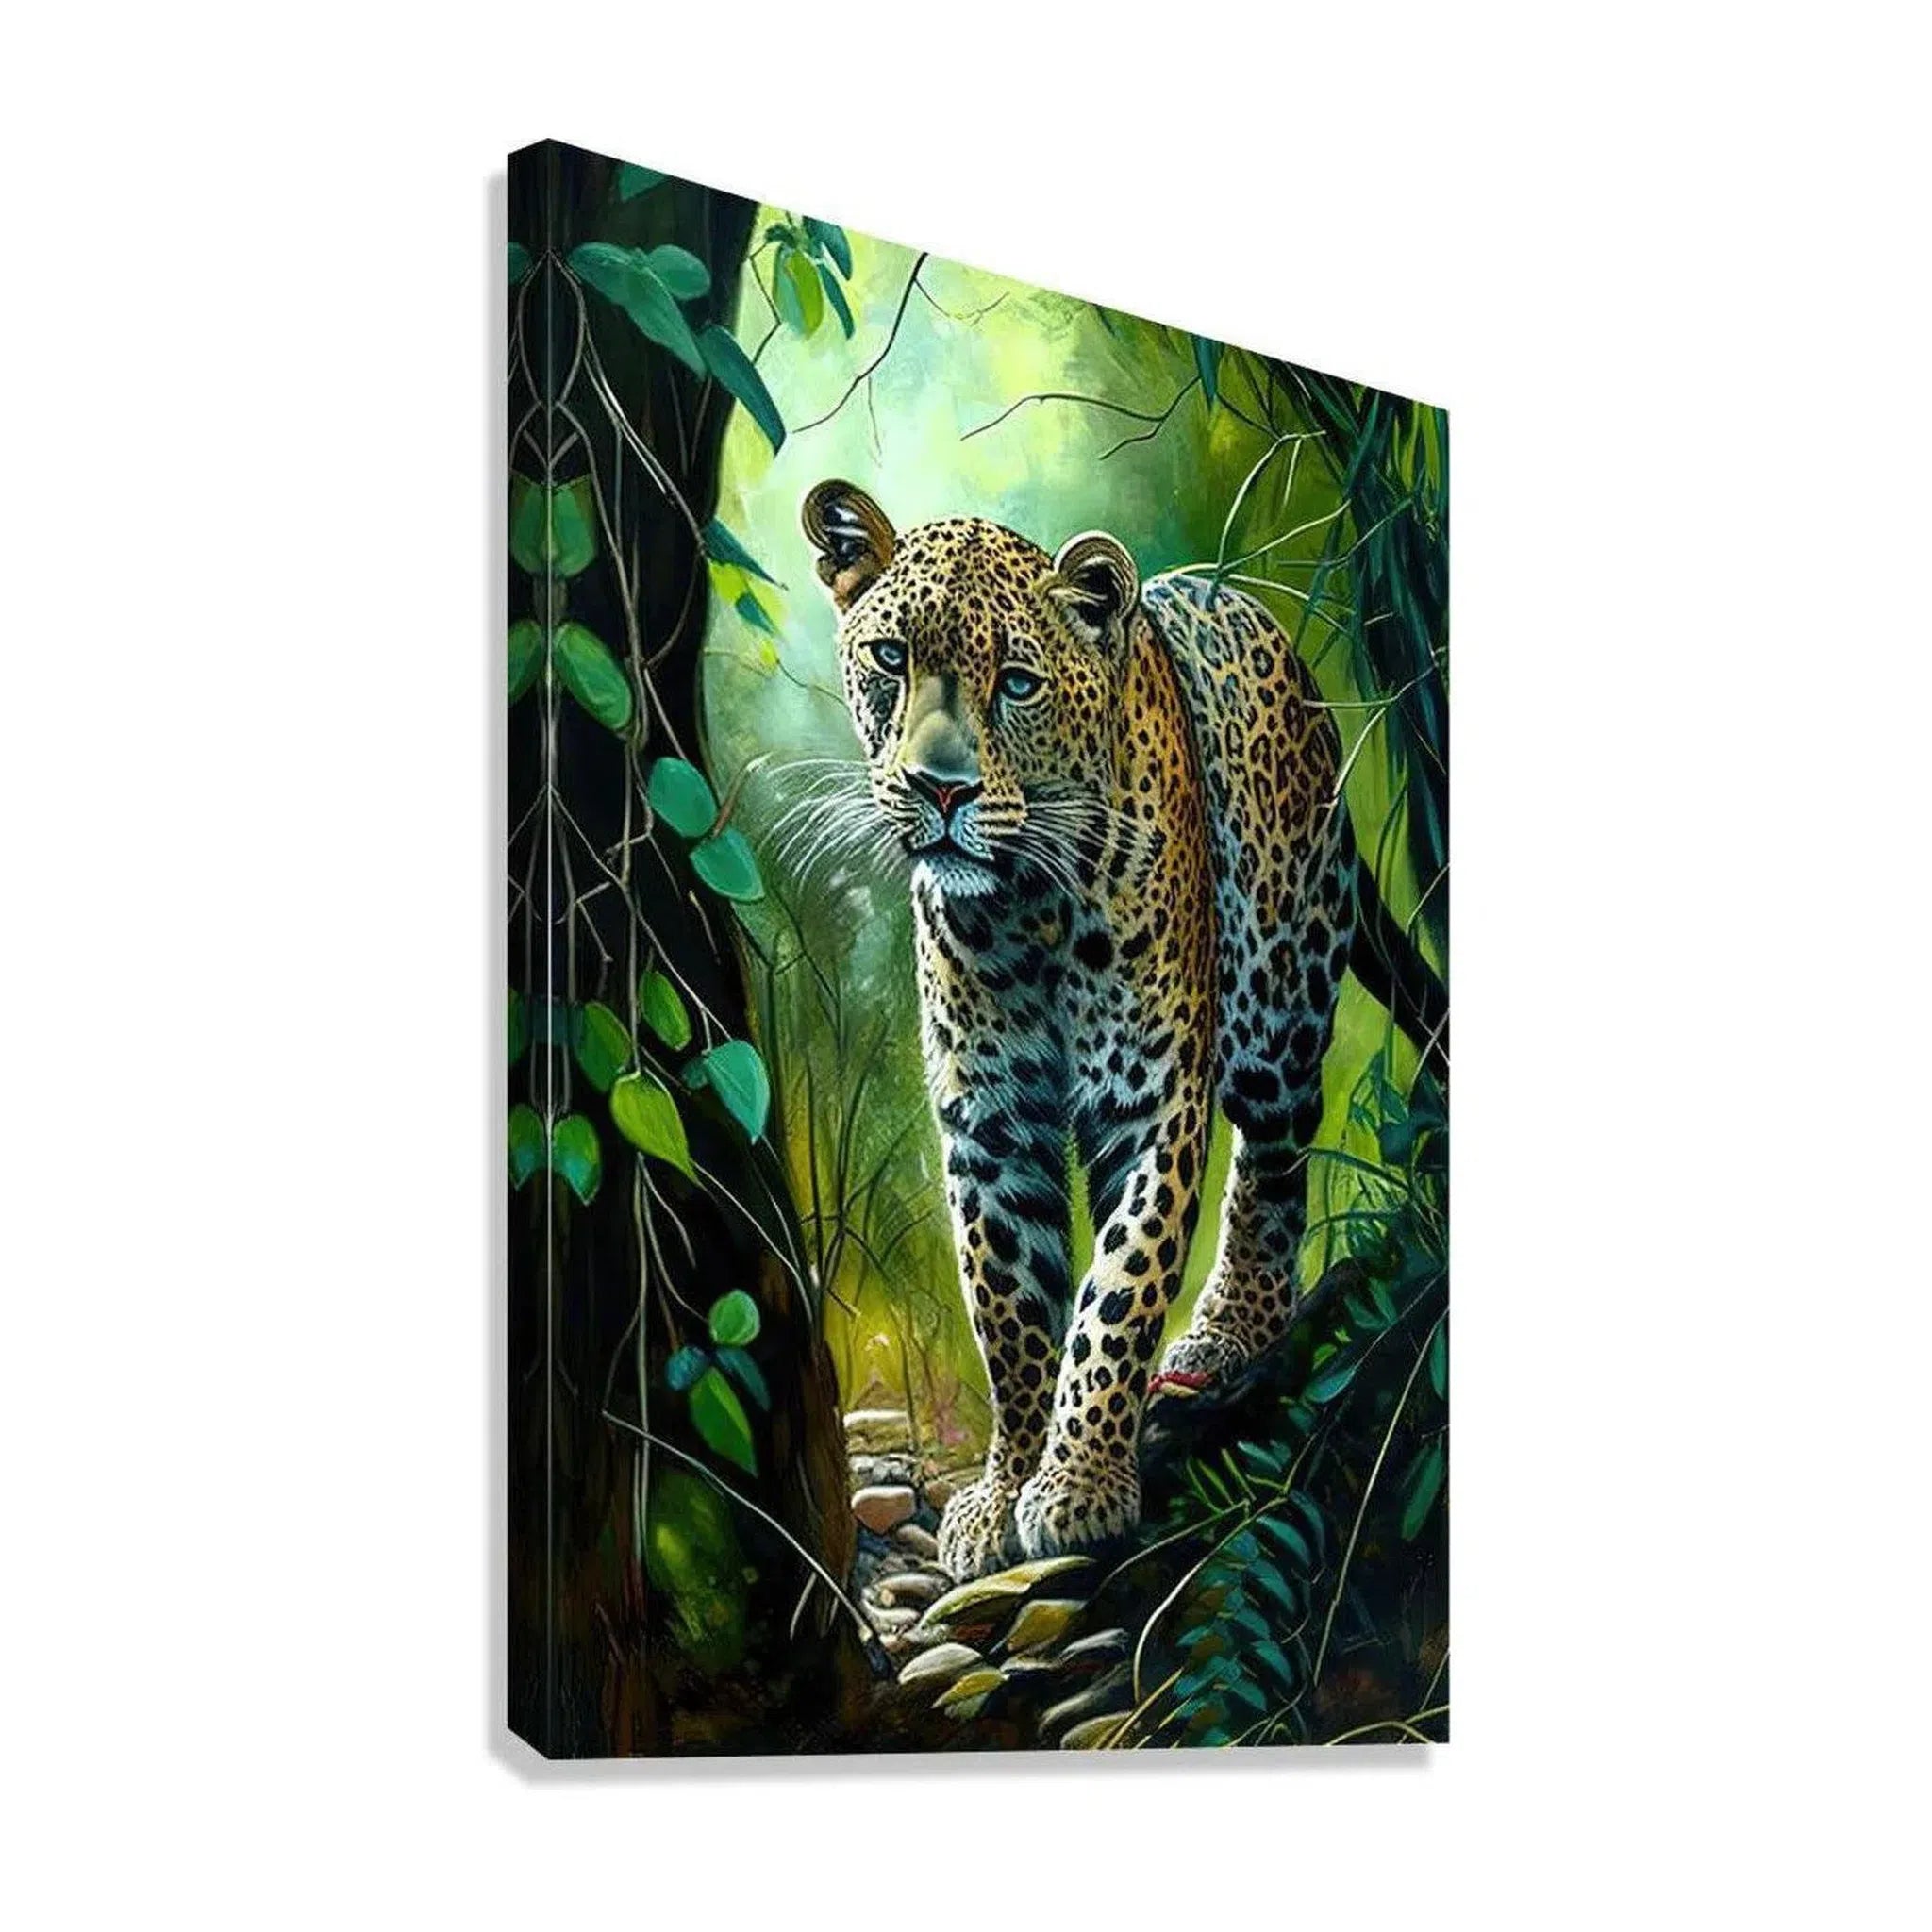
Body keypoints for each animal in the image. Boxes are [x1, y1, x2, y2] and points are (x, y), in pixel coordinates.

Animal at [800, 479, 1444, 1580]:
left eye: (1017, 683)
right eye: (890, 657)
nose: (939, 789)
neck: (1022, 905)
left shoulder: (1146, 1099)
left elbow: (1119, 1289)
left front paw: (1079, 1485)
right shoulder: (990, 1122)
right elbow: (1011, 1307)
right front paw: (1007, 1485)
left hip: (1276, 991)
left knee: (1275, 1158)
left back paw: (1229, 1330)